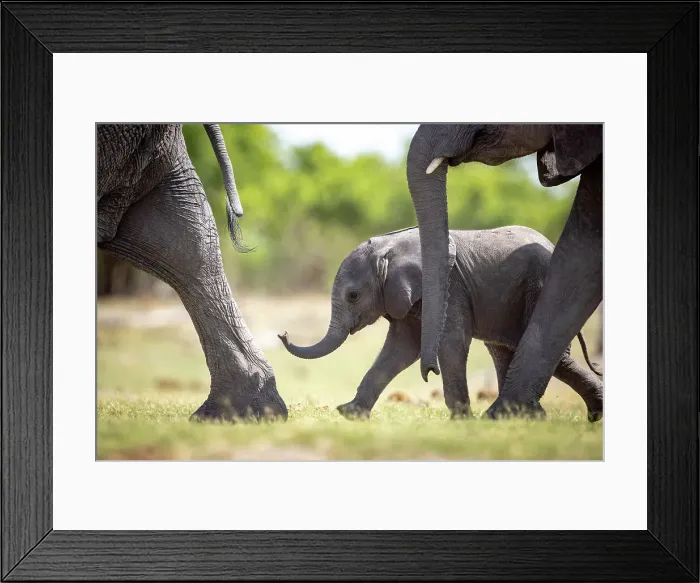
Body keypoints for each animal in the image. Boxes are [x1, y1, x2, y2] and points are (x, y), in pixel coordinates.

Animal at [277, 226, 603, 421]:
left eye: (353, 296)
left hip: (541, 284)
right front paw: (350, 414)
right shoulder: (404, 297)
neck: (391, 246)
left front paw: (462, 422)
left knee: (550, 354)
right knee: (504, 351)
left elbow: (450, 342)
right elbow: (399, 350)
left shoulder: (450, 286)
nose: (282, 333)